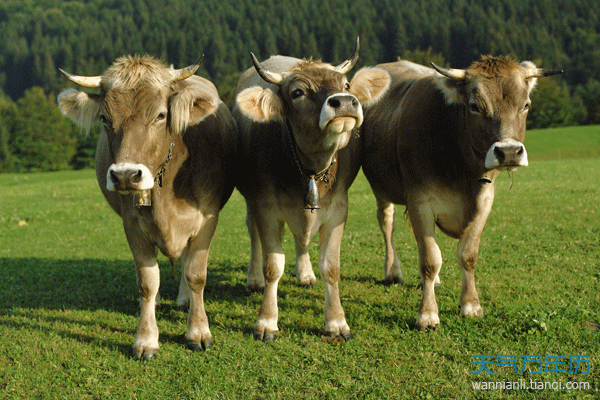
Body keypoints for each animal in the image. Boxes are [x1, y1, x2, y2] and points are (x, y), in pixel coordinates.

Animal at [56, 54, 237, 358]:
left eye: (161, 115)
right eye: (104, 118)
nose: (126, 175)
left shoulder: (207, 219)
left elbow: (196, 274)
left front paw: (198, 331)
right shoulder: (132, 225)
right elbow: (147, 282)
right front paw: (146, 338)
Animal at [232, 39, 392, 340]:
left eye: (346, 85)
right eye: (298, 92)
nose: (345, 103)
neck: (308, 169)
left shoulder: (338, 208)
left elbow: (331, 267)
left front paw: (336, 322)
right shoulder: (266, 207)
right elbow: (273, 266)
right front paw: (266, 320)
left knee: (301, 238)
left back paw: (305, 274)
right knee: (252, 232)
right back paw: (254, 278)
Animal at [360, 54, 564, 330]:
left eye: (526, 105)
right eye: (475, 106)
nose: (509, 152)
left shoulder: (485, 200)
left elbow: (468, 255)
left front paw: (470, 305)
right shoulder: (420, 202)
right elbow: (429, 259)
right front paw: (427, 314)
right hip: (381, 188)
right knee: (387, 224)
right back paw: (392, 271)